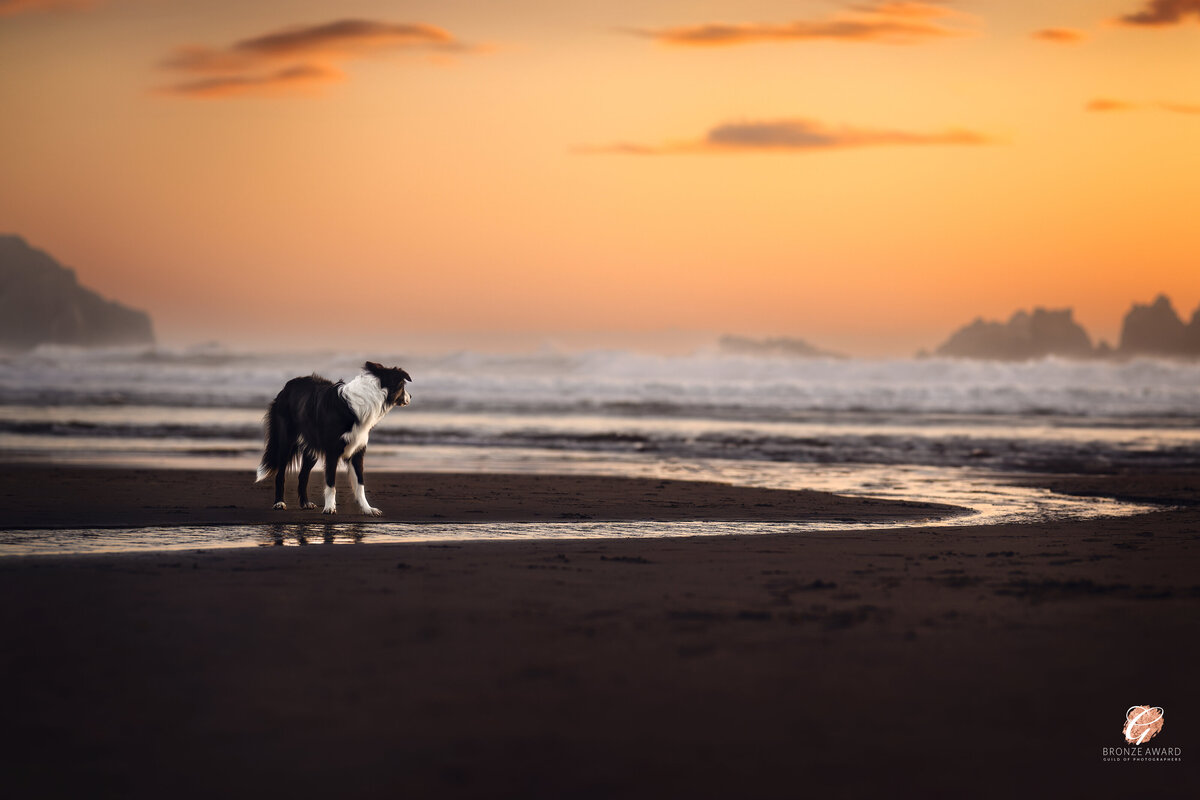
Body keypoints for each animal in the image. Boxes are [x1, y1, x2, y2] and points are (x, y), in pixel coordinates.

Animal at [254, 362, 412, 515]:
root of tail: (287, 386)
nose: (410, 396)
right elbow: (331, 483)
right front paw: (329, 508)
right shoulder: (332, 451)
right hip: (286, 441)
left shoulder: (357, 451)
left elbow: (360, 483)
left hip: (311, 448)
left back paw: (305, 503)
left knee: (303, 475)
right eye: (403, 387)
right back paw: (279, 503)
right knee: (280, 474)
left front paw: (367, 509)